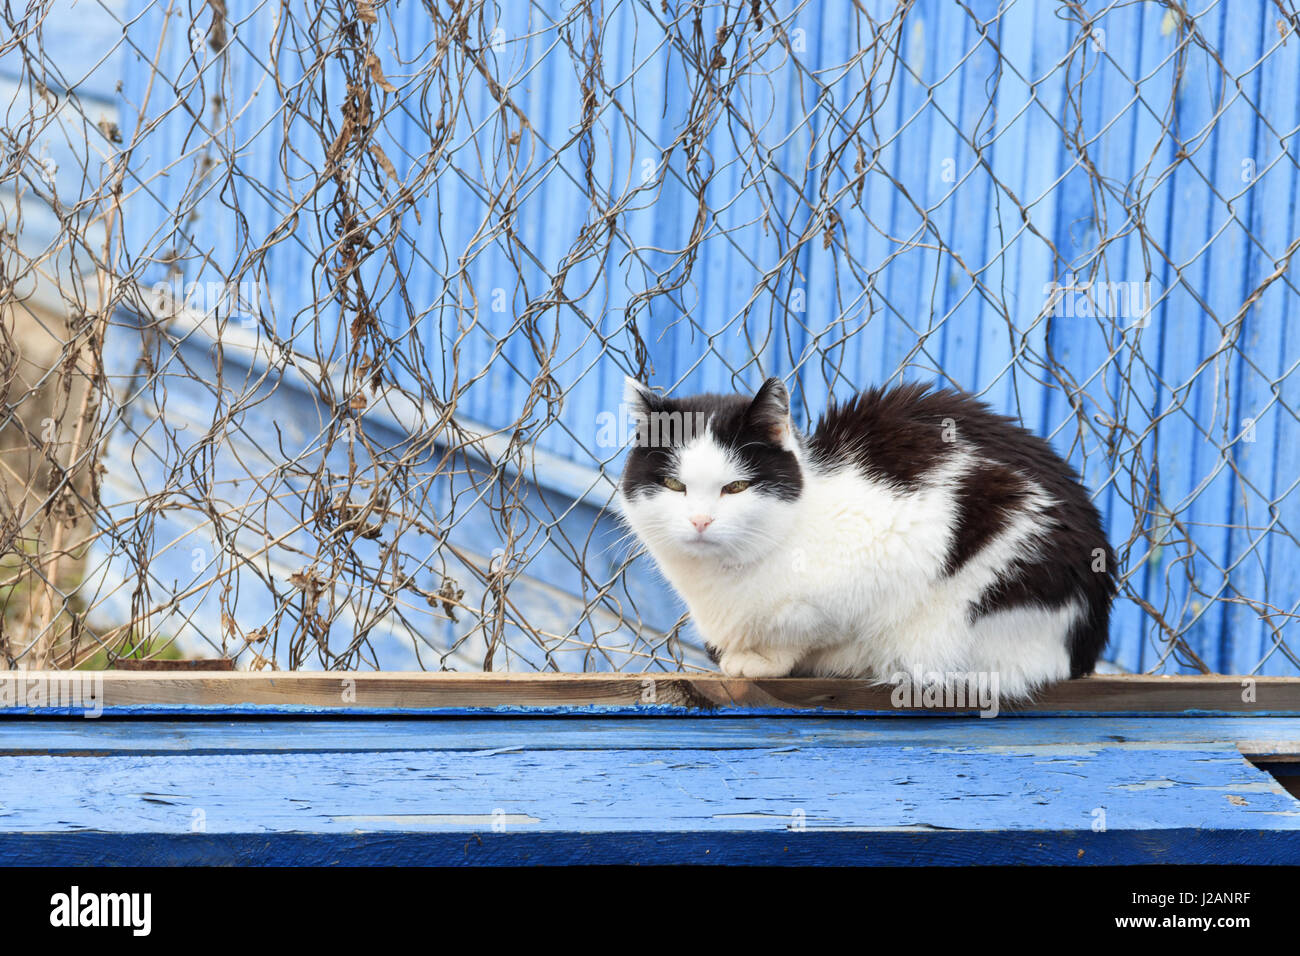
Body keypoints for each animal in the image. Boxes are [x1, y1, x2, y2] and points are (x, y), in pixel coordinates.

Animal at [621, 377, 1118, 697]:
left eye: (736, 487)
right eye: (674, 486)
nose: (700, 521)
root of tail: (1088, 643)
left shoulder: (896, 541)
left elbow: (809, 628)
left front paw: (766, 659)